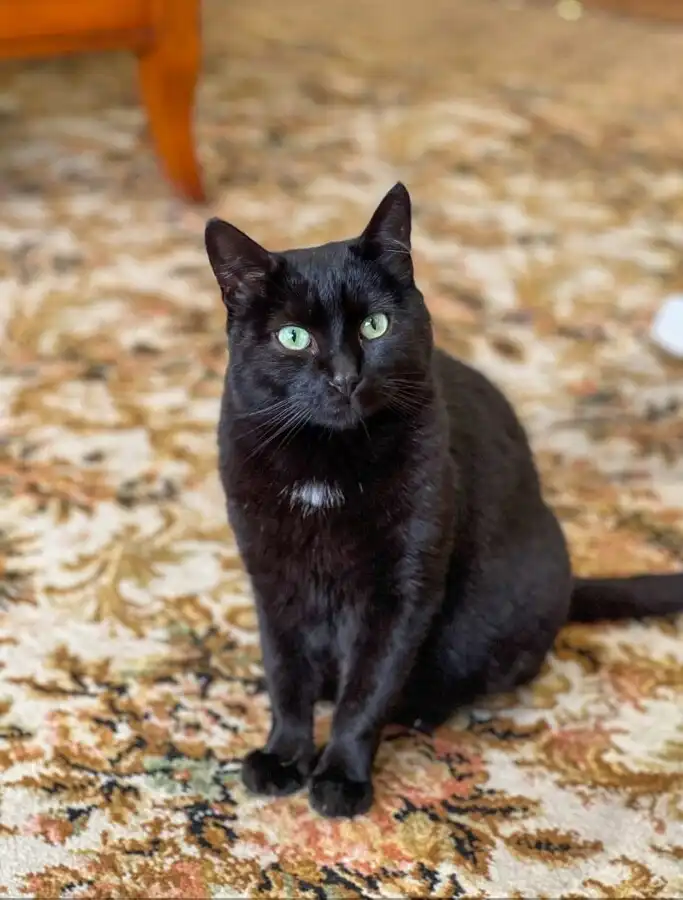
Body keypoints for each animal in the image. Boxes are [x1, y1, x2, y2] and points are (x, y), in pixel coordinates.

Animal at [206, 186, 683, 820]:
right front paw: (283, 756)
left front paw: (341, 777)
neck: (325, 464)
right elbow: (286, 674)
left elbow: (368, 691)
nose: (344, 376)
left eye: (375, 326)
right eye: (293, 337)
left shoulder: (403, 590)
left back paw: (420, 713)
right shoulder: (272, 577)